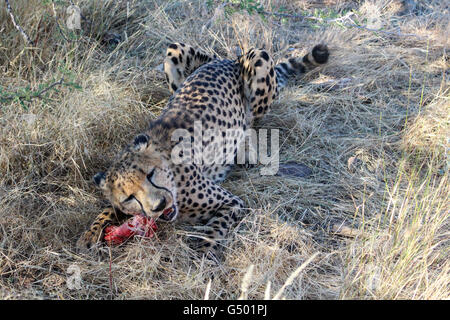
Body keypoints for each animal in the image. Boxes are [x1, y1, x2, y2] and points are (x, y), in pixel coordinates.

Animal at [77, 41, 328, 258]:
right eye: (129, 196)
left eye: (150, 174)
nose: (159, 205)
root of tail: (226, 60)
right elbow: (108, 209)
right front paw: (90, 233)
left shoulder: (232, 203)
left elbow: (216, 229)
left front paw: (205, 255)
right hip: (173, 52)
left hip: (258, 60)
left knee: (251, 119)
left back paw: (246, 149)